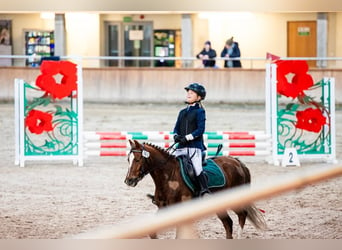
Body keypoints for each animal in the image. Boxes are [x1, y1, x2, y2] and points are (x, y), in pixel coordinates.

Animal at [124, 140, 266, 239]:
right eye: (128, 160)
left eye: (137, 159)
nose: (129, 181)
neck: (169, 175)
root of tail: (238, 162)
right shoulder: (163, 208)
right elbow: (152, 233)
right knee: (228, 223)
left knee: (242, 215)